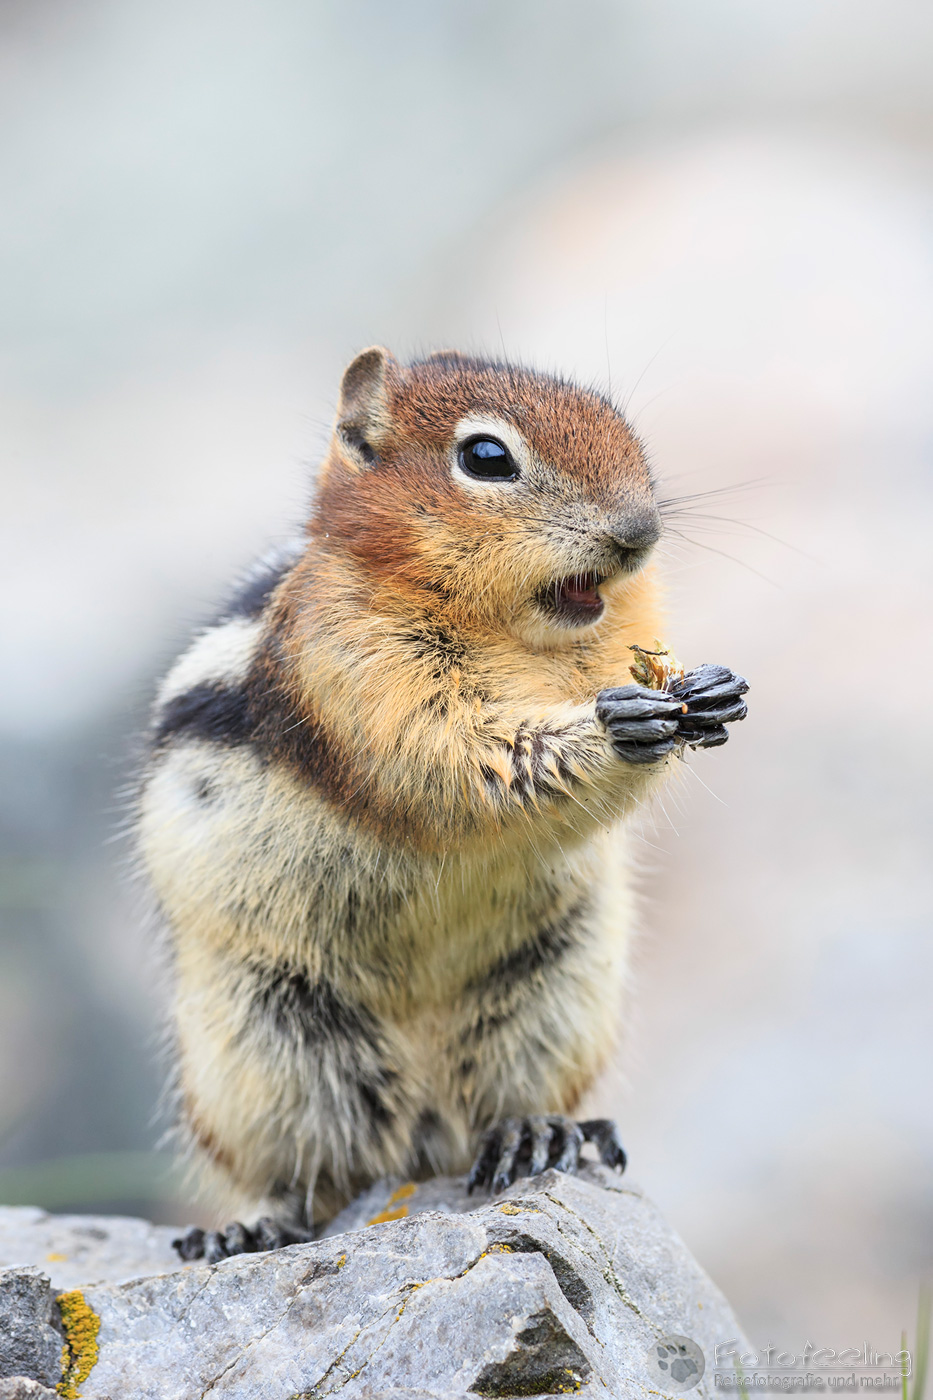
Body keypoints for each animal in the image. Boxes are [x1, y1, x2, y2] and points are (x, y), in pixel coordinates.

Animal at [135, 348, 748, 1263]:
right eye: (486, 458)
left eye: (619, 425)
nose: (639, 532)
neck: (522, 641)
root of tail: (421, 1142)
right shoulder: (355, 672)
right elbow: (453, 762)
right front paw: (616, 729)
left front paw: (708, 690)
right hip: (265, 1041)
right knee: (309, 1169)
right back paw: (254, 1226)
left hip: (552, 991)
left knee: (493, 1106)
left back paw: (536, 1133)